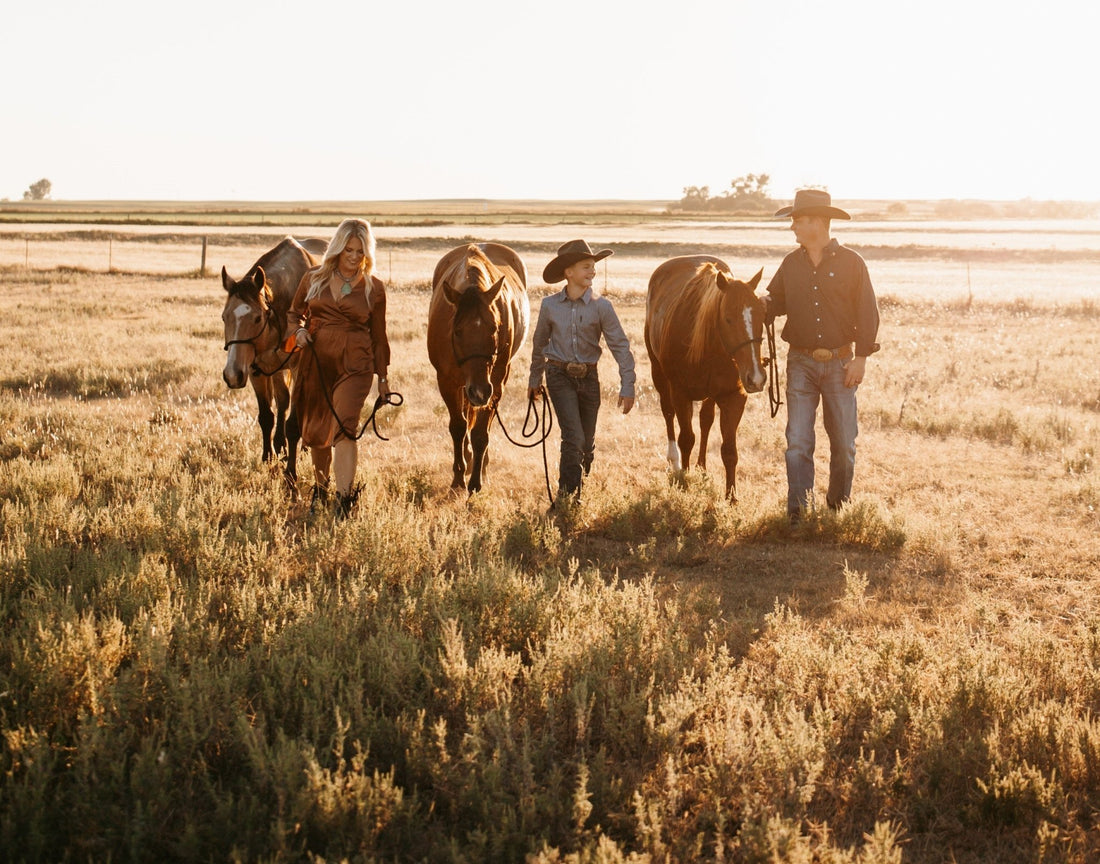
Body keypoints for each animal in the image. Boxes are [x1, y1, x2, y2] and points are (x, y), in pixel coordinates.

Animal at [220, 235, 323, 468]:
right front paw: (268, 456)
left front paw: (290, 468)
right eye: (224, 317)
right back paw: (280, 445)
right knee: (282, 400)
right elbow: (267, 416)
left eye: (258, 318)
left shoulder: (298, 369)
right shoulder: (255, 369)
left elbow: (294, 422)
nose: (232, 375)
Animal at [424, 242, 528, 495]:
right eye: (458, 330)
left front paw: (476, 480)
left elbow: (481, 432)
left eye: (494, 328)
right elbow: (458, 427)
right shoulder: (447, 381)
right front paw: (458, 477)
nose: (479, 390)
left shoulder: (495, 383)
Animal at [642, 254, 765, 499]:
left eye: (761, 316)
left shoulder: (733, 397)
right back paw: (675, 462)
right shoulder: (680, 393)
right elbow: (686, 438)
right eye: (728, 319)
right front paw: (683, 481)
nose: (756, 377)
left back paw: (701, 466)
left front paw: (731, 497)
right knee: (668, 414)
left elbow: (729, 450)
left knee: (705, 420)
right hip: (658, 374)